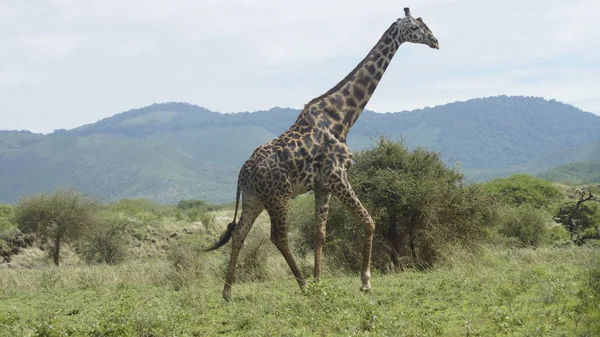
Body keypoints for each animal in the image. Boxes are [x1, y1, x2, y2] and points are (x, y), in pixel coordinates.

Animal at [205, 6, 436, 300]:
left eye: (425, 25)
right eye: (416, 28)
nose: (435, 41)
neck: (342, 118)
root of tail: (243, 172)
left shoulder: (323, 186)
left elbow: (320, 234)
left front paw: (319, 280)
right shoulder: (338, 177)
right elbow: (369, 221)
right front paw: (364, 281)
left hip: (254, 198)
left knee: (239, 234)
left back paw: (227, 292)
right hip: (279, 196)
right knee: (278, 236)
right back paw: (301, 285)